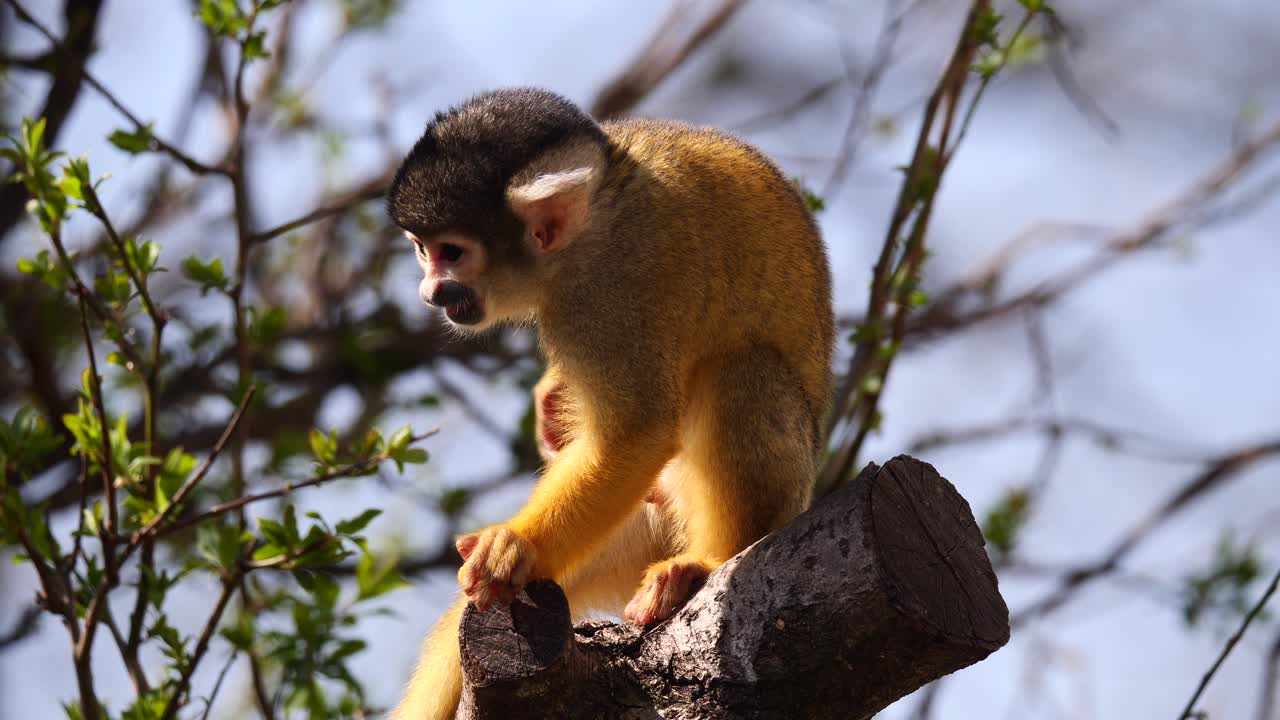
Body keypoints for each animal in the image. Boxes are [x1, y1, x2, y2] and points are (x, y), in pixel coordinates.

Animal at [386, 88, 833, 720]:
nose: (430, 293)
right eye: (422, 251)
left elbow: (639, 429)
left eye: (451, 253)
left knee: (738, 372)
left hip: (773, 497)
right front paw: (552, 402)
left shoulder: (608, 291)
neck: (597, 209)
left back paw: (707, 562)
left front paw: (521, 545)